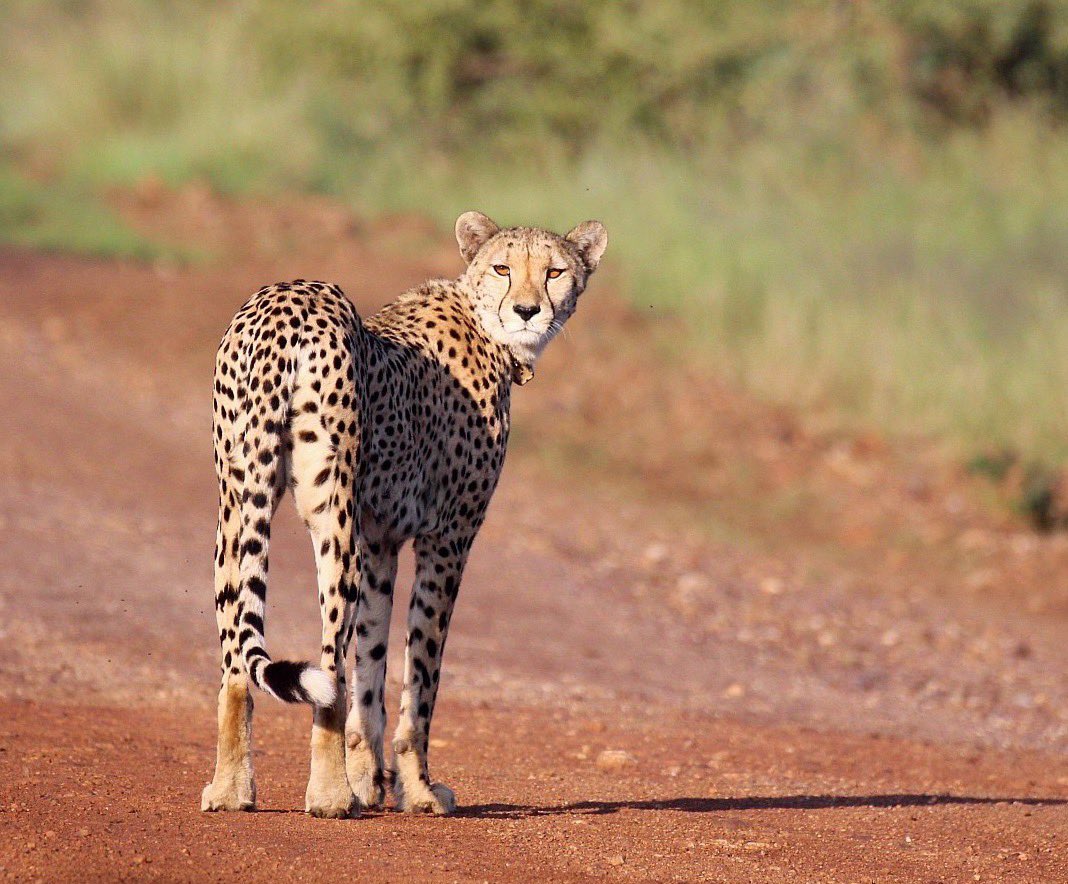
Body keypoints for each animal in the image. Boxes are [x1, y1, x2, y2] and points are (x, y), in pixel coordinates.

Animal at [198, 212, 602, 815]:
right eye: (503, 268)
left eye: (554, 271)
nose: (528, 310)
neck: (485, 327)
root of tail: (288, 298)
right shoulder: (448, 539)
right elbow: (420, 676)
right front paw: (417, 789)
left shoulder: (380, 541)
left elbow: (372, 662)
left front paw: (370, 778)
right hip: (331, 516)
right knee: (328, 669)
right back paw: (329, 793)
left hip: (240, 502)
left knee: (238, 663)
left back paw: (231, 788)